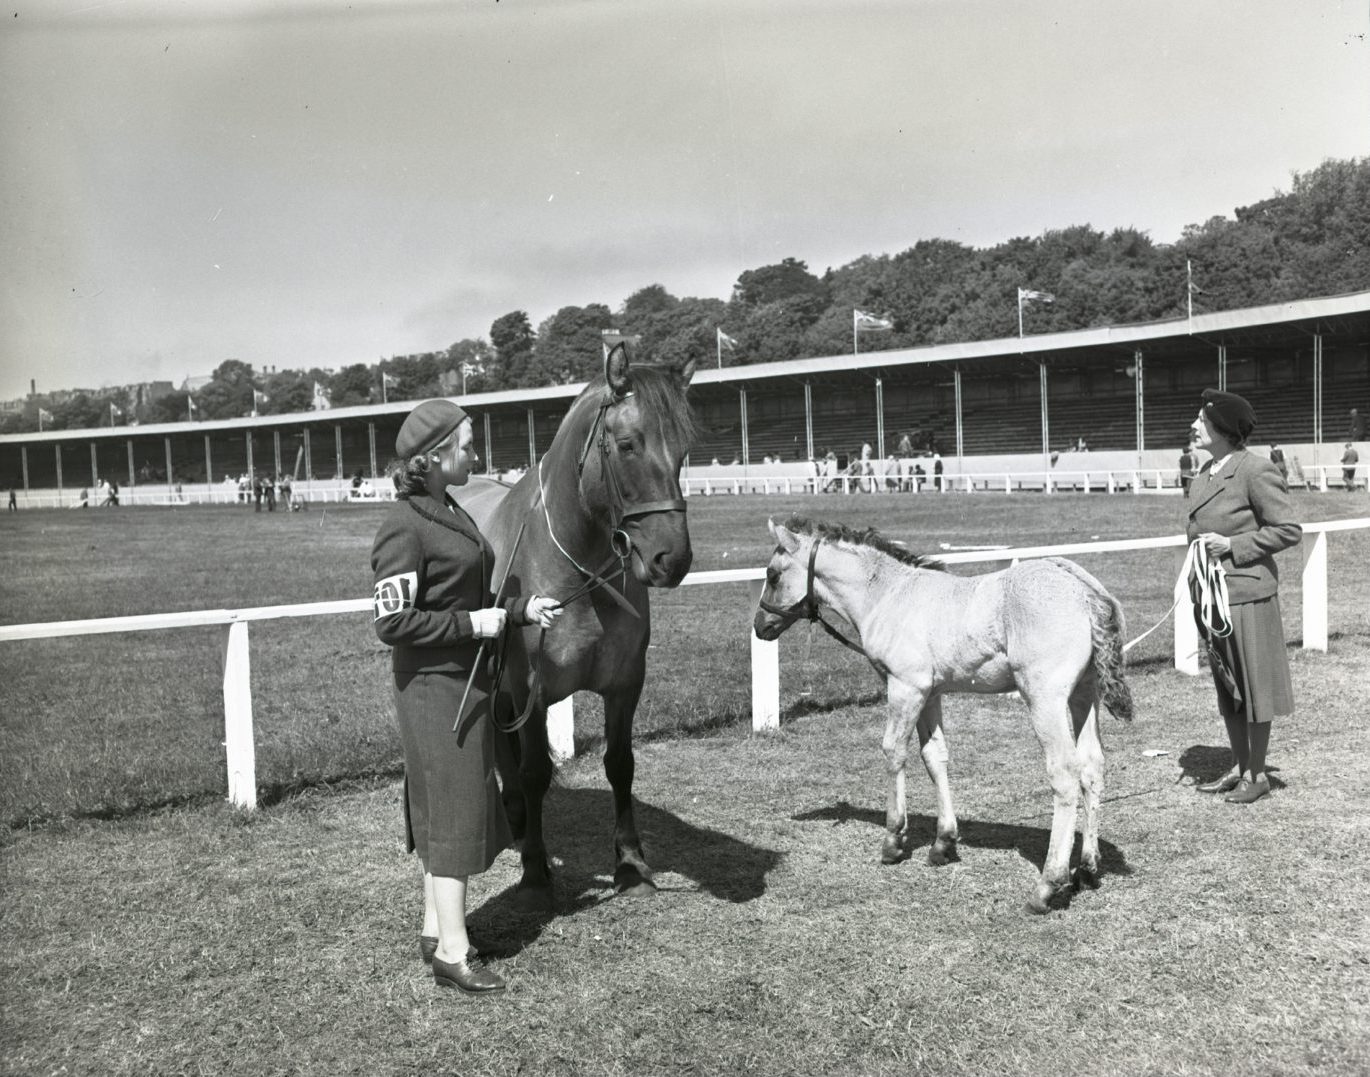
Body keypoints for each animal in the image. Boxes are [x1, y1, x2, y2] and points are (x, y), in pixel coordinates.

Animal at [460, 342, 695, 904]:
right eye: (628, 445)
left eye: (685, 450)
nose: (671, 560)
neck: (577, 567)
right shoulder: (531, 689)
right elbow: (535, 771)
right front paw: (536, 869)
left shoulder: (626, 684)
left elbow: (620, 764)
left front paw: (630, 863)